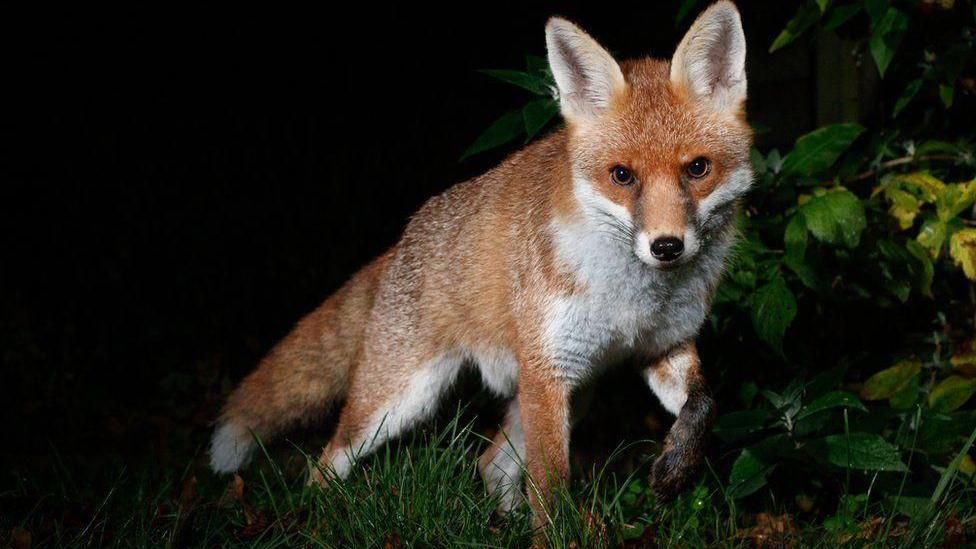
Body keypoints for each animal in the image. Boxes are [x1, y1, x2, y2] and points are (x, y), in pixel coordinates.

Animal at [210, 0, 752, 524]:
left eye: (697, 168)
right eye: (622, 176)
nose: (667, 246)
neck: (633, 298)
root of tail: (404, 236)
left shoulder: (660, 347)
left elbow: (705, 407)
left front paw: (675, 469)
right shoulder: (548, 372)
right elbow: (551, 493)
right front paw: (558, 536)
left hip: (573, 390)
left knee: (489, 463)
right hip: (399, 401)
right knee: (326, 461)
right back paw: (324, 513)